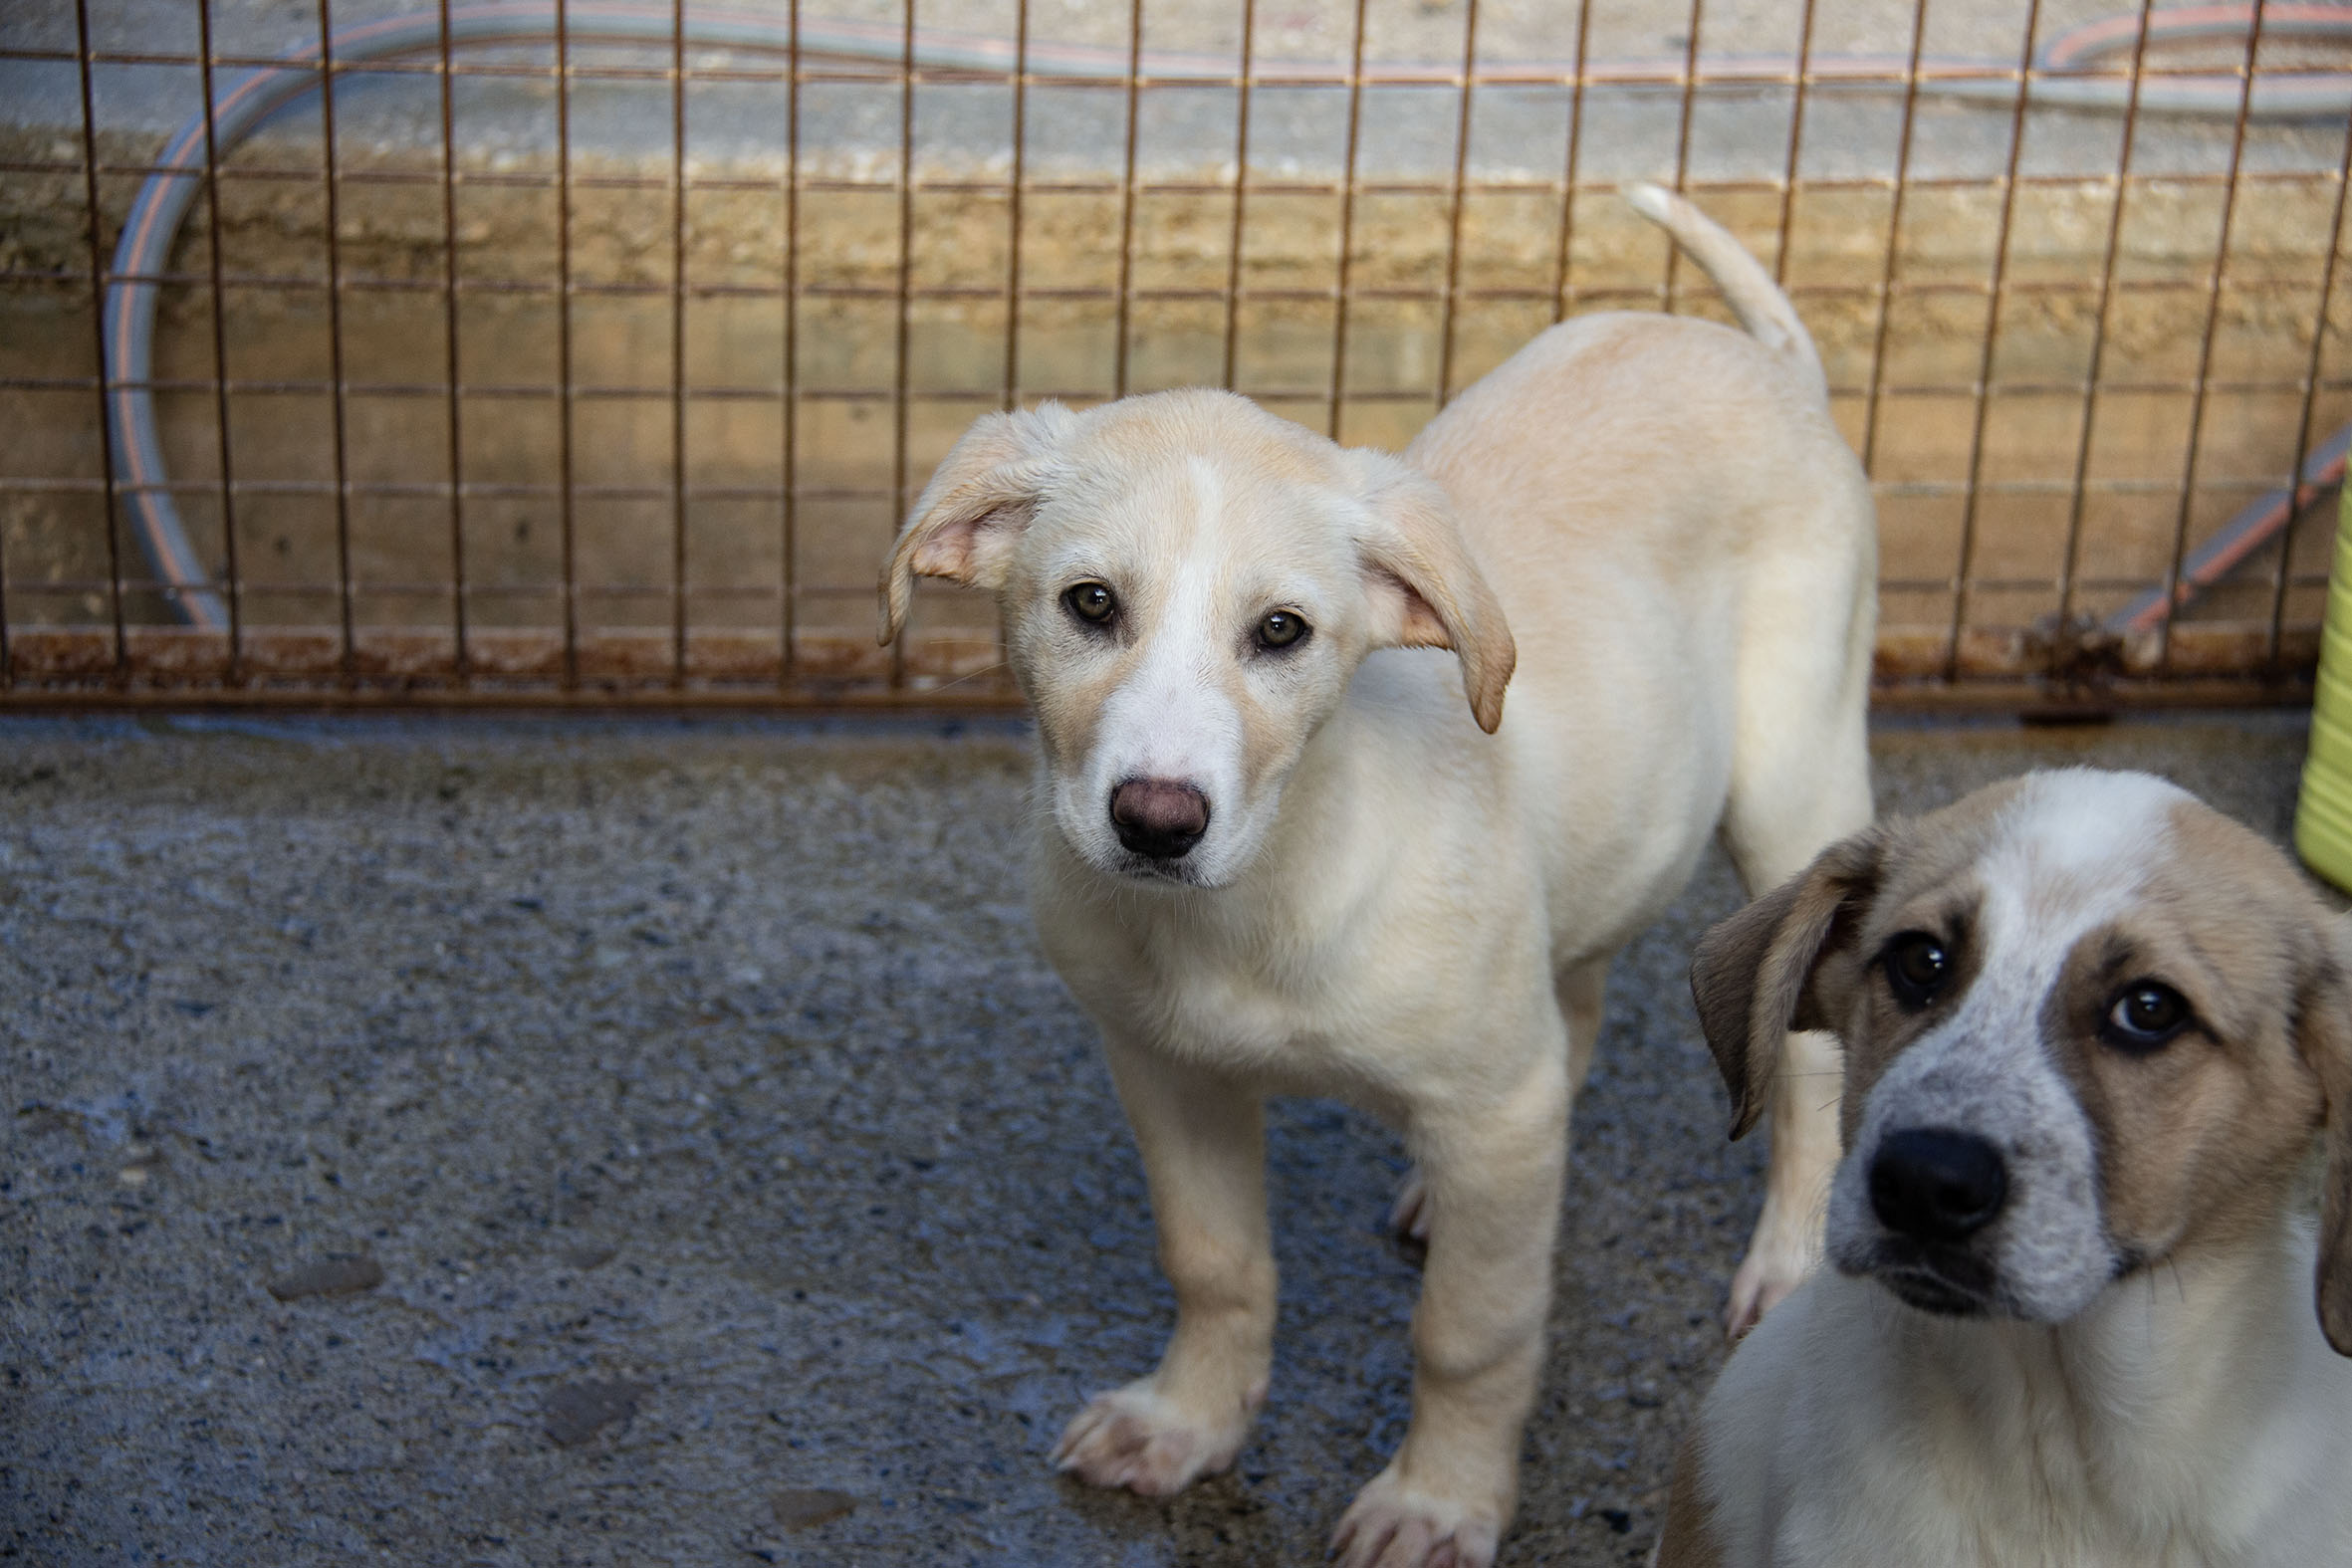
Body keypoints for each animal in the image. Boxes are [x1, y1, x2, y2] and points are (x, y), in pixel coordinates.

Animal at [878, 185, 1876, 1567]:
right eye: (1088, 605)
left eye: (1280, 633)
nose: (1156, 822)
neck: (1256, 901)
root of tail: (1764, 362)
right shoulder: (1164, 1068)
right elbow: (1214, 1264)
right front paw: (1187, 1424)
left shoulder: (1497, 1115)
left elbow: (1471, 1332)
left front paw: (1439, 1500)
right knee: (1573, 990)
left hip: (1793, 785)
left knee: (1812, 1061)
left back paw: (1787, 1258)